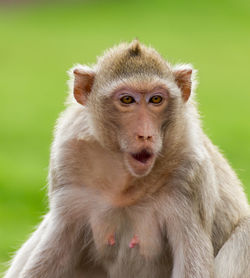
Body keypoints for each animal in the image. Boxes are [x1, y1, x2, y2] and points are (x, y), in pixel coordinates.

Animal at [4, 39, 250, 278]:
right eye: (127, 100)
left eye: (156, 99)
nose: (145, 134)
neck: (126, 180)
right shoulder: (67, 162)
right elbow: (55, 247)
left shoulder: (190, 177)